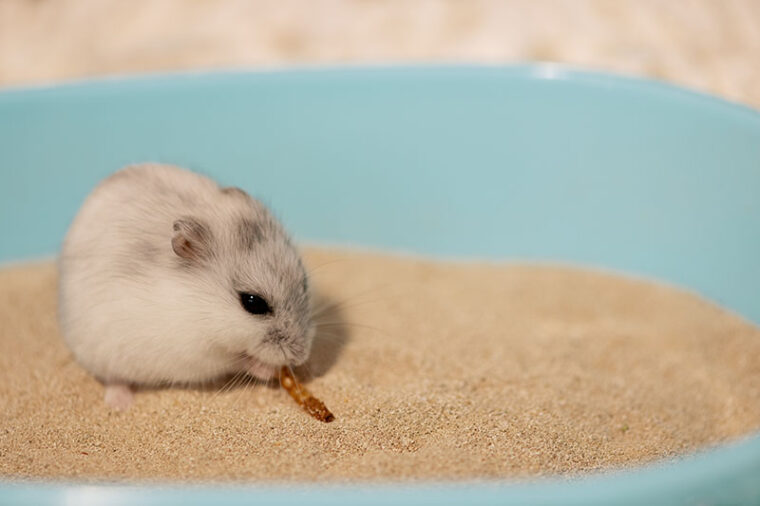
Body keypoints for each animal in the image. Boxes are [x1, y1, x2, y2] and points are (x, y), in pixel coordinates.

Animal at [58, 163, 315, 410]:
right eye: (253, 303)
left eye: (304, 282)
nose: (301, 356)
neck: (201, 307)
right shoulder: (199, 353)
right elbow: (240, 359)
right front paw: (270, 370)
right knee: (113, 379)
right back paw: (121, 404)